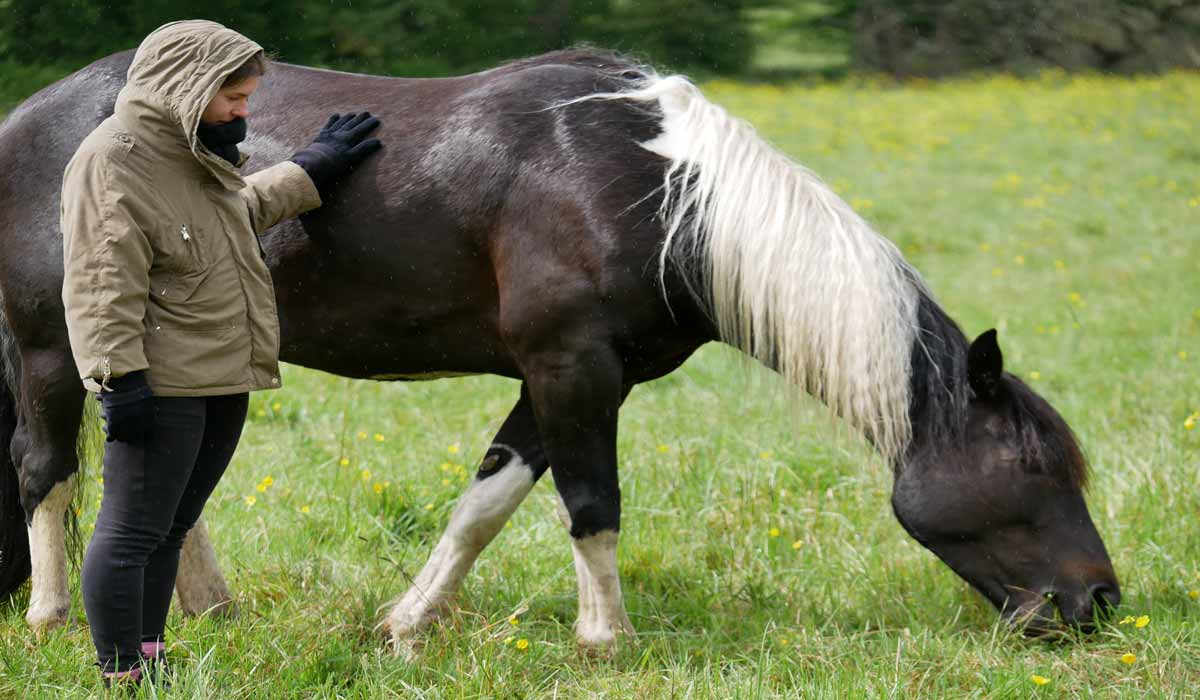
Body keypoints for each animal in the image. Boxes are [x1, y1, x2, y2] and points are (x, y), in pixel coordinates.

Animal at [2, 48, 1123, 653]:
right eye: (1031, 468)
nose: (1099, 603)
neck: (660, 197)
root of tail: (34, 113)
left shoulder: (556, 382)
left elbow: (485, 505)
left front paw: (407, 624)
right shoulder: (573, 371)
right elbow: (592, 506)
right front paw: (606, 639)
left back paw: (207, 609)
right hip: (53, 351)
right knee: (48, 470)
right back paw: (54, 616)